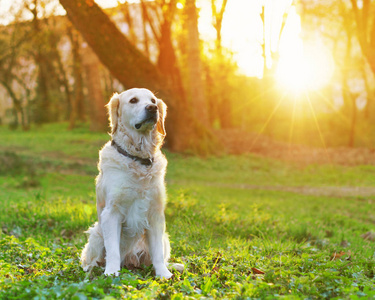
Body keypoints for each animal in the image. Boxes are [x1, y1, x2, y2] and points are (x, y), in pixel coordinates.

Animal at [81, 88, 184, 278]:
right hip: (96, 233)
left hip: (165, 238)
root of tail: (130, 262)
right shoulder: (111, 212)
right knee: (91, 260)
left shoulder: (155, 214)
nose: (152, 108)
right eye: (133, 100)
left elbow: (157, 253)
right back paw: (93, 269)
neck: (139, 159)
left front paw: (164, 274)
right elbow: (113, 251)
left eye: (153, 100)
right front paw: (111, 273)